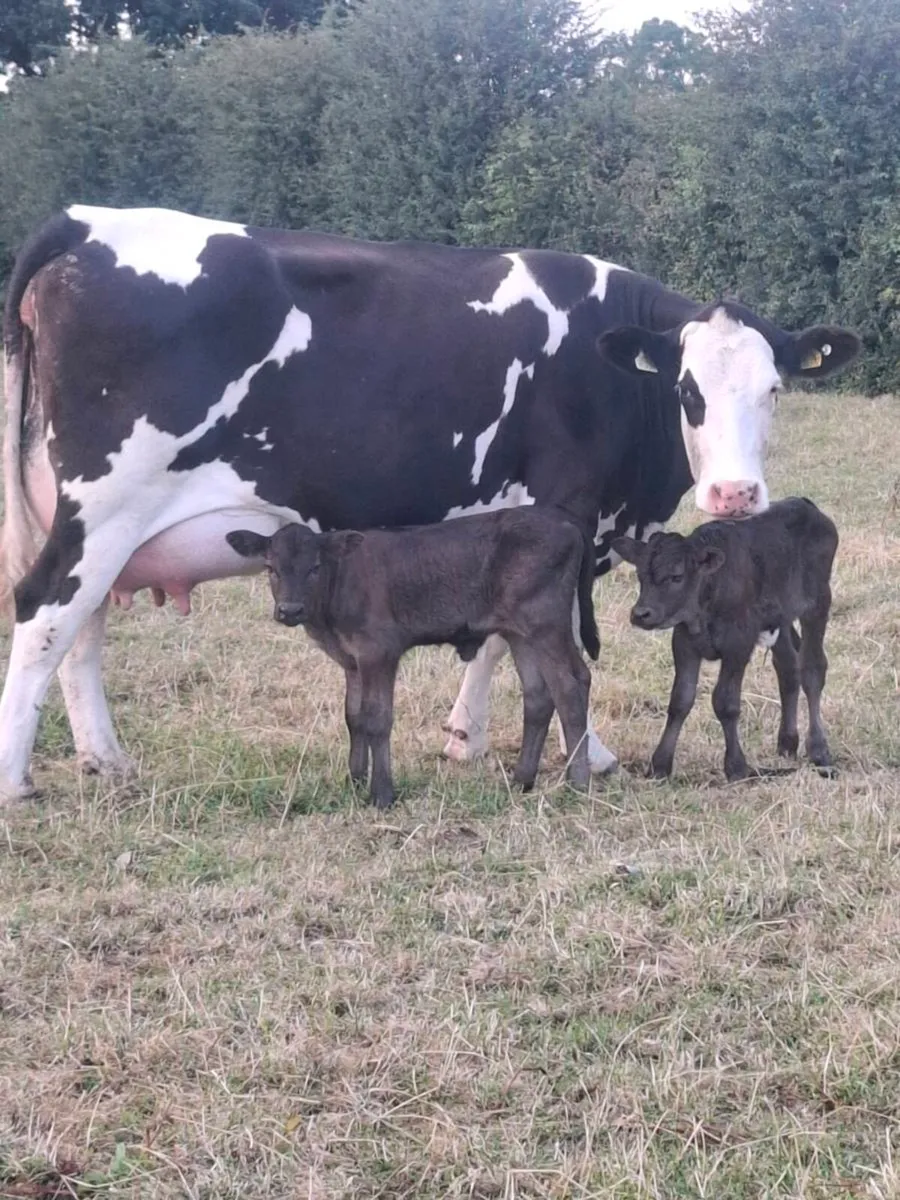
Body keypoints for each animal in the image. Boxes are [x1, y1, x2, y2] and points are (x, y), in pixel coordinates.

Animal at [226, 507, 599, 807]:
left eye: (315, 567)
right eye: (270, 567)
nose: (289, 610)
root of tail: (565, 519)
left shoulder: (379, 650)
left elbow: (377, 718)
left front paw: (381, 794)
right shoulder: (352, 660)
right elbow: (353, 716)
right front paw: (355, 779)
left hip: (545, 622)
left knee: (571, 685)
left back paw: (577, 782)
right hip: (520, 633)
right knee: (538, 695)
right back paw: (522, 779)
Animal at [613, 498, 838, 781]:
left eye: (677, 576)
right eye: (640, 576)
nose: (641, 614)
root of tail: (805, 504)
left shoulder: (738, 643)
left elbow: (725, 702)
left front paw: (736, 767)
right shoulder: (684, 642)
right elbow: (680, 700)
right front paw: (660, 764)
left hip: (818, 603)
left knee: (812, 670)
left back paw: (818, 749)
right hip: (780, 618)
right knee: (788, 669)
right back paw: (787, 742)